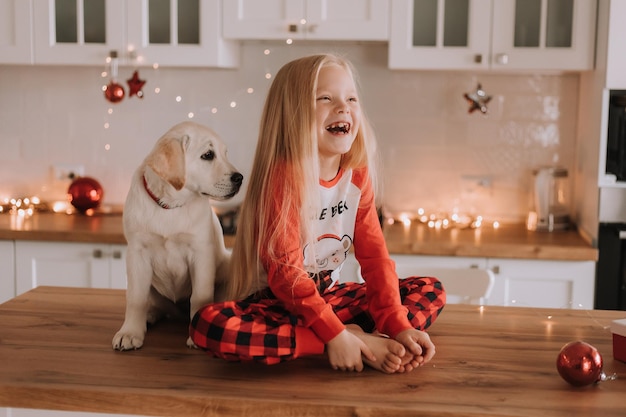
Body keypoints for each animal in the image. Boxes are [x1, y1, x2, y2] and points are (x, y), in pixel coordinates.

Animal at [112, 122, 241, 350]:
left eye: (225, 154)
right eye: (208, 155)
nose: (240, 178)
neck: (171, 205)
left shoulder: (201, 252)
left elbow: (200, 296)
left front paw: (198, 334)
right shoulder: (137, 253)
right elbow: (136, 298)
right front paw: (129, 332)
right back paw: (149, 315)